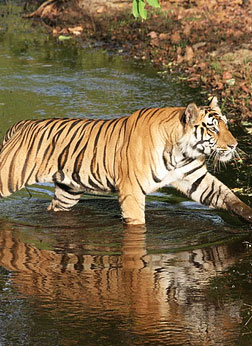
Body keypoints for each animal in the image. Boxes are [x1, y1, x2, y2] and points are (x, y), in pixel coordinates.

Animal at [0, 96, 251, 224]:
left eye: (226, 125)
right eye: (213, 129)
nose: (234, 145)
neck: (181, 153)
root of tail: (21, 124)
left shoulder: (195, 178)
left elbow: (226, 195)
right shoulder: (132, 190)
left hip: (68, 192)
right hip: (8, 176)